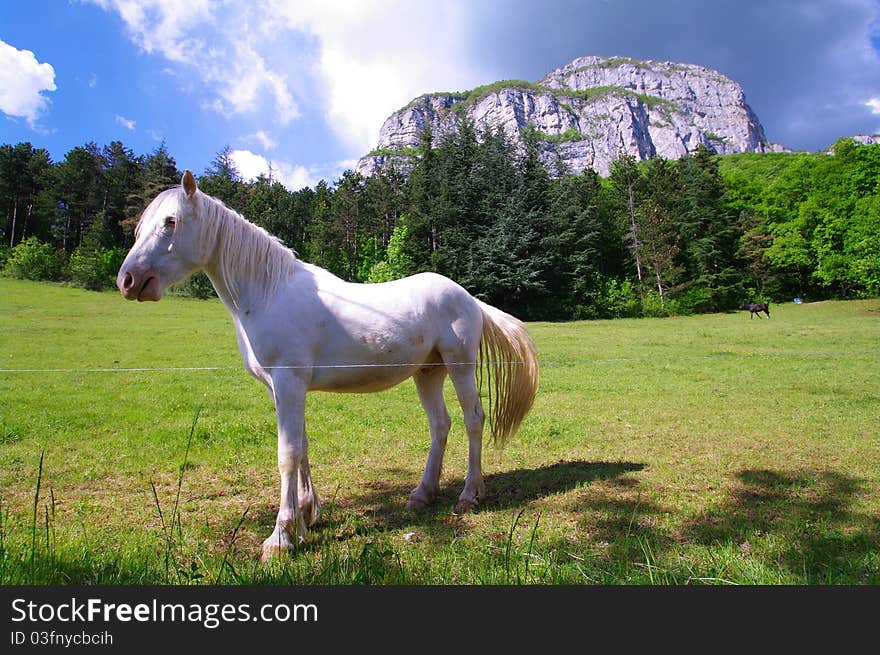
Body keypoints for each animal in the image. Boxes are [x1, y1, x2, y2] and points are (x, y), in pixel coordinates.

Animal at [117, 170, 540, 560]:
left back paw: (469, 494)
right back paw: (421, 494)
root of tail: (468, 297)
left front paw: (281, 537)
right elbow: (301, 447)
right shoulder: (283, 389)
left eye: (171, 222)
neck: (268, 292)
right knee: (440, 425)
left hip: (459, 366)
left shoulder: (289, 384)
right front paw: (306, 515)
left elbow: (287, 453)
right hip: (427, 373)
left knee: (473, 419)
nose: (128, 280)